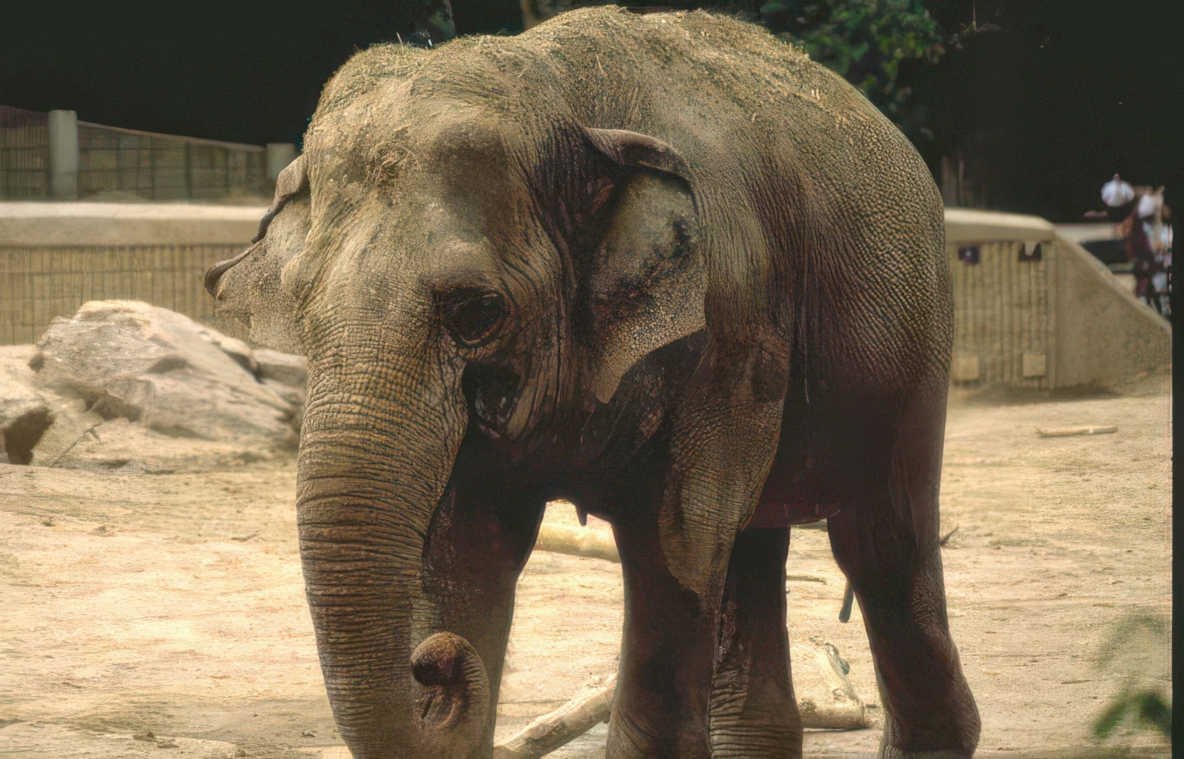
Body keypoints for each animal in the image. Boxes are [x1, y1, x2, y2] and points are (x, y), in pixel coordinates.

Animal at [206, 7, 979, 758]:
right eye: (301, 311)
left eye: (477, 311)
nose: (430, 662)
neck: (566, 99)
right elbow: (466, 551)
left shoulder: (732, 318)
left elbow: (673, 546)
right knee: (754, 546)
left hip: (914, 341)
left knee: (878, 544)